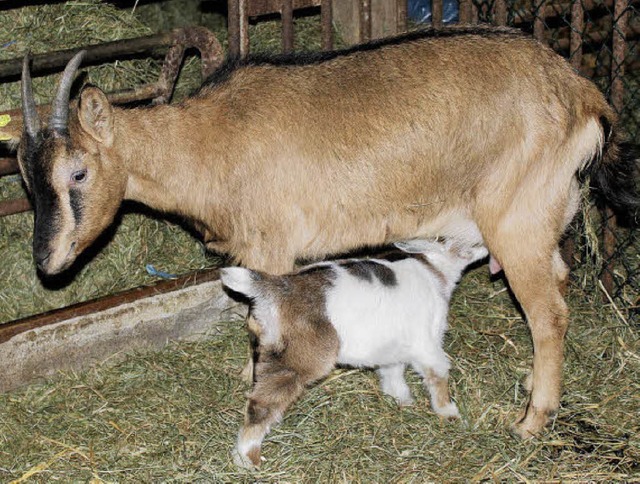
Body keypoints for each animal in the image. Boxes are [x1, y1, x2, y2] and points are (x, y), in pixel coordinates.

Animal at [5, 27, 640, 442]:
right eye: (26, 176)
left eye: (78, 172)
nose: (47, 261)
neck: (210, 142)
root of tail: (580, 93)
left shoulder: (272, 248)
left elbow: (257, 320)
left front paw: (255, 380)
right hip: (545, 214)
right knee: (558, 286)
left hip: (516, 218)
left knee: (549, 312)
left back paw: (532, 421)